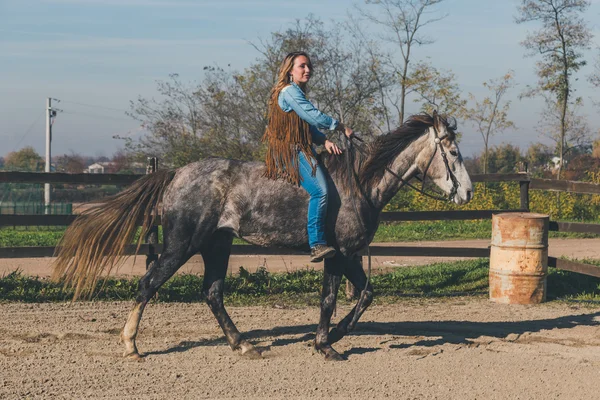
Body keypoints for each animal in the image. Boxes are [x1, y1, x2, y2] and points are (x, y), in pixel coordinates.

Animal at [51, 111, 474, 360]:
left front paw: (332, 337)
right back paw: (131, 345)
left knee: (212, 293)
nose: (468, 192)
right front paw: (326, 344)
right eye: (453, 152)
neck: (360, 182)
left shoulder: (350, 255)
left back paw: (243, 345)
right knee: (148, 284)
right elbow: (331, 299)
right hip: (181, 245)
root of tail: (176, 173)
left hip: (217, 245)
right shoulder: (336, 255)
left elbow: (365, 294)